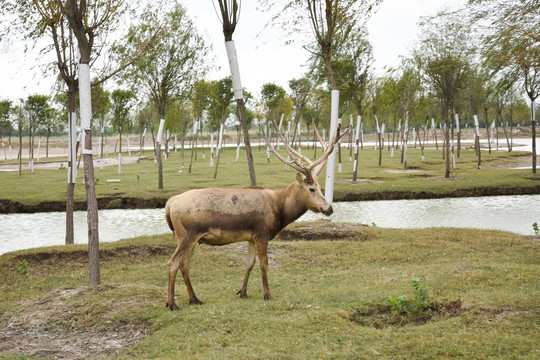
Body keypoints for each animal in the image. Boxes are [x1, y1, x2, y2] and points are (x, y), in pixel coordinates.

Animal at [165, 120, 350, 310]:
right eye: (312, 188)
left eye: (320, 187)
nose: (329, 208)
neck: (280, 210)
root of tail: (170, 204)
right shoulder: (262, 232)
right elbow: (264, 264)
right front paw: (267, 294)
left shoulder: (250, 237)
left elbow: (249, 264)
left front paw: (243, 292)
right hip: (187, 234)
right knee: (173, 262)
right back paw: (172, 303)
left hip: (193, 238)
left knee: (184, 265)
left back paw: (194, 299)